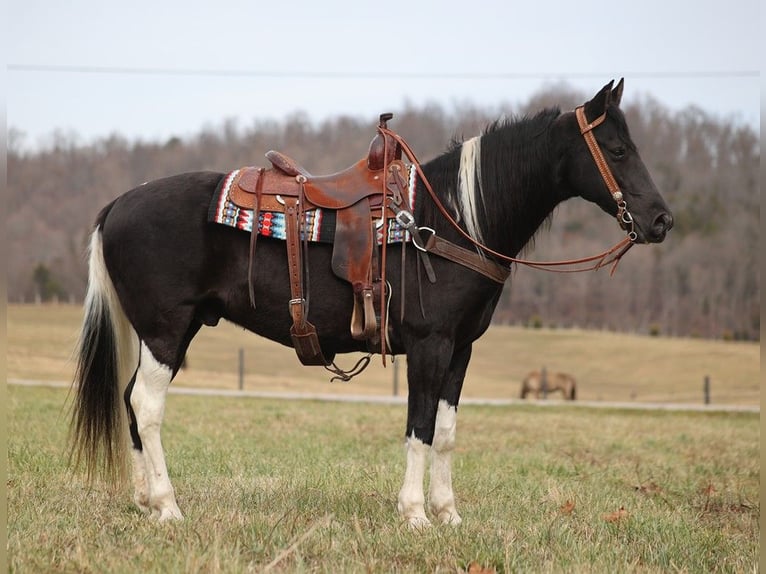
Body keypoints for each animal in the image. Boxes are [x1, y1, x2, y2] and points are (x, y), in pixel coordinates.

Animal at [70, 81, 672, 532]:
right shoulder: (429, 347)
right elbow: (419, 427)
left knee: (130, 402)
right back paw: (168, 506)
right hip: (166, 330)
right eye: (617, 150)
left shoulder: (461, 351)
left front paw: (448, 513)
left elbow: (446, 431)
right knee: (146, 405)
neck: (450, 218)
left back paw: (145, 502)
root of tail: (118, 204)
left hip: (167, 331)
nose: (661, 220)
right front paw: (415, 514)